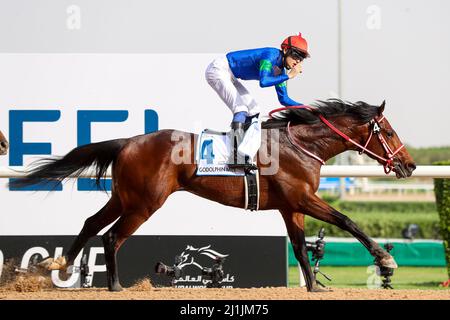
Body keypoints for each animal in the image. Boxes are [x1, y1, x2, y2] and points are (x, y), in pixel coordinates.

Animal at [10, 100, 416, 292]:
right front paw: (386, 261)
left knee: (92, 222)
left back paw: (58, 265)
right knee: (111, 236)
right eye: (389, 132)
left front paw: (315, 287)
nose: (409, 165)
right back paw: (113, 285)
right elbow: (347, 221)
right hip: (144, 203)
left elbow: (301, 249)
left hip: (124, 197)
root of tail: (128, 142)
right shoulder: (302, 200)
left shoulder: (291, 207)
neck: (300, 144)